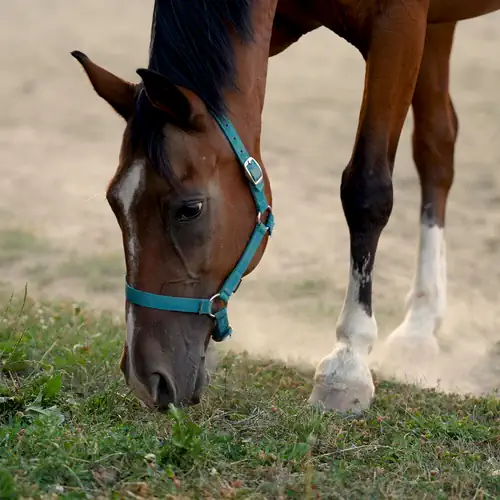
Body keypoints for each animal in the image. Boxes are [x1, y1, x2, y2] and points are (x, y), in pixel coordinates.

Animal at [71, 0, 500, 412]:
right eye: (115, 203)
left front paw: (348, 364)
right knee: (436, 147)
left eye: (190, 209)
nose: (146, 379)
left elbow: (367, 190)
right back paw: (421, 326)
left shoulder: (399, 27)